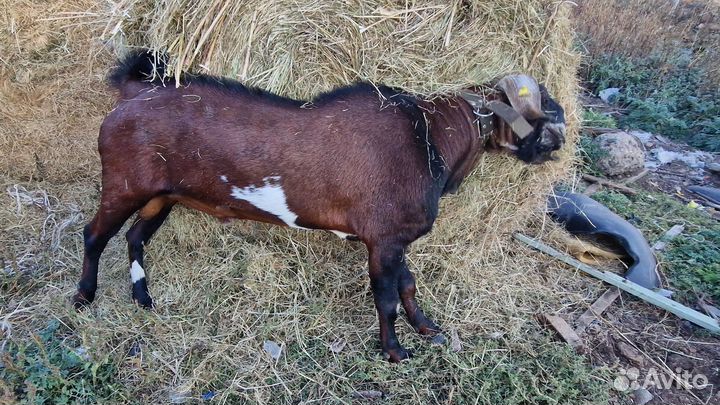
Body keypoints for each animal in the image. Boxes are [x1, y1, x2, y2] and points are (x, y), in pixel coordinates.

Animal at [73, 49, 566, 362]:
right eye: (538, 102)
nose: (560, 134)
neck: (427, 136)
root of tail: (133, 94)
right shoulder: (383, 240)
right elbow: (387, 297)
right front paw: (394, 351)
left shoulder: (394, 237)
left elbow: (407, 286)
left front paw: (428, 329)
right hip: (123, 183)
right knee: (95, 233)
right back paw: (84, 296)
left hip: (163, 194)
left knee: (136, 236)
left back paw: (142, 297)